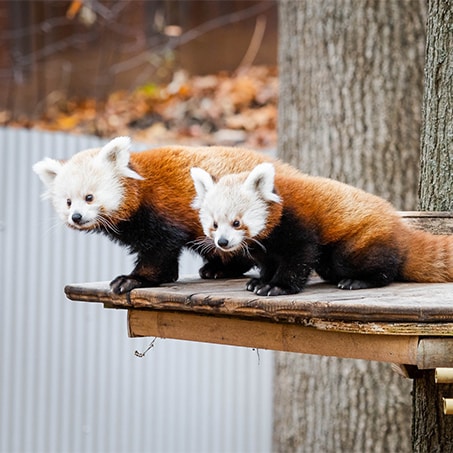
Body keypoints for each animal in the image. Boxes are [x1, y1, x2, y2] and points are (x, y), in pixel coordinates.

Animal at [189, 161, 452, 294]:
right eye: (214, 225)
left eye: (236, 222)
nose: (223, 242)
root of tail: (399, 226)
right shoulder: (266, 246)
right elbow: (268, 262)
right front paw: (260, 280)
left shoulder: (297, 225)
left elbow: (299, 257)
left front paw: (277, 286)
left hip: (361, 241)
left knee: (377, 265)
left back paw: (359, 280)